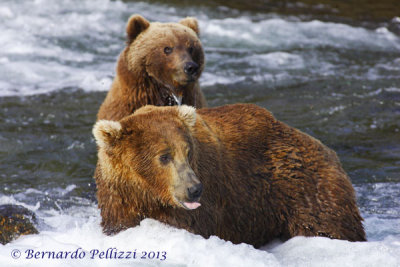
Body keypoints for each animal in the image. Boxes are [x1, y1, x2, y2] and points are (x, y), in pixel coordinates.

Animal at [91, 103, 366, 248]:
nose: (194, 188)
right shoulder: (119, 197)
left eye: (187, 151)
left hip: (303, 187)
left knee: (329, 224)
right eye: (164, 156)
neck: (147, 192)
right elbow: (120, 225)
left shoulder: (206, 203)